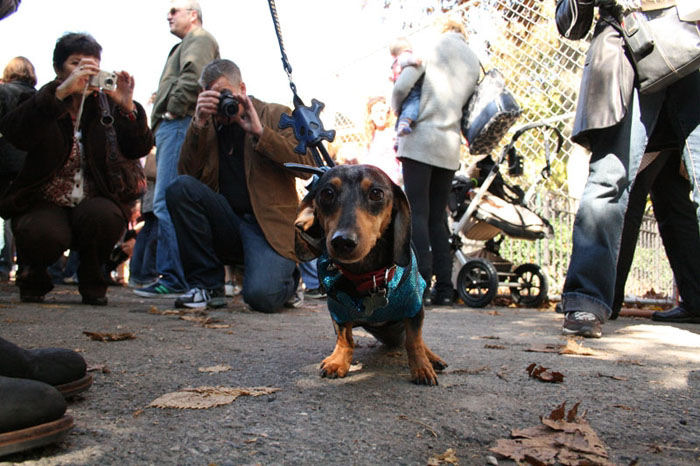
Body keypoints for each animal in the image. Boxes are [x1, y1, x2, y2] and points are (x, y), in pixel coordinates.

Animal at [292, 164, 446, 386]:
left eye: (376, 193)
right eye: (327, 193)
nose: (342, 241)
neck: (368, 275)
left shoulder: (414, 306)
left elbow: (415, 340)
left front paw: (422, 367)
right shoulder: (338, 309)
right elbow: (345, 337)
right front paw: (338, 362)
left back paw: (432, 358)